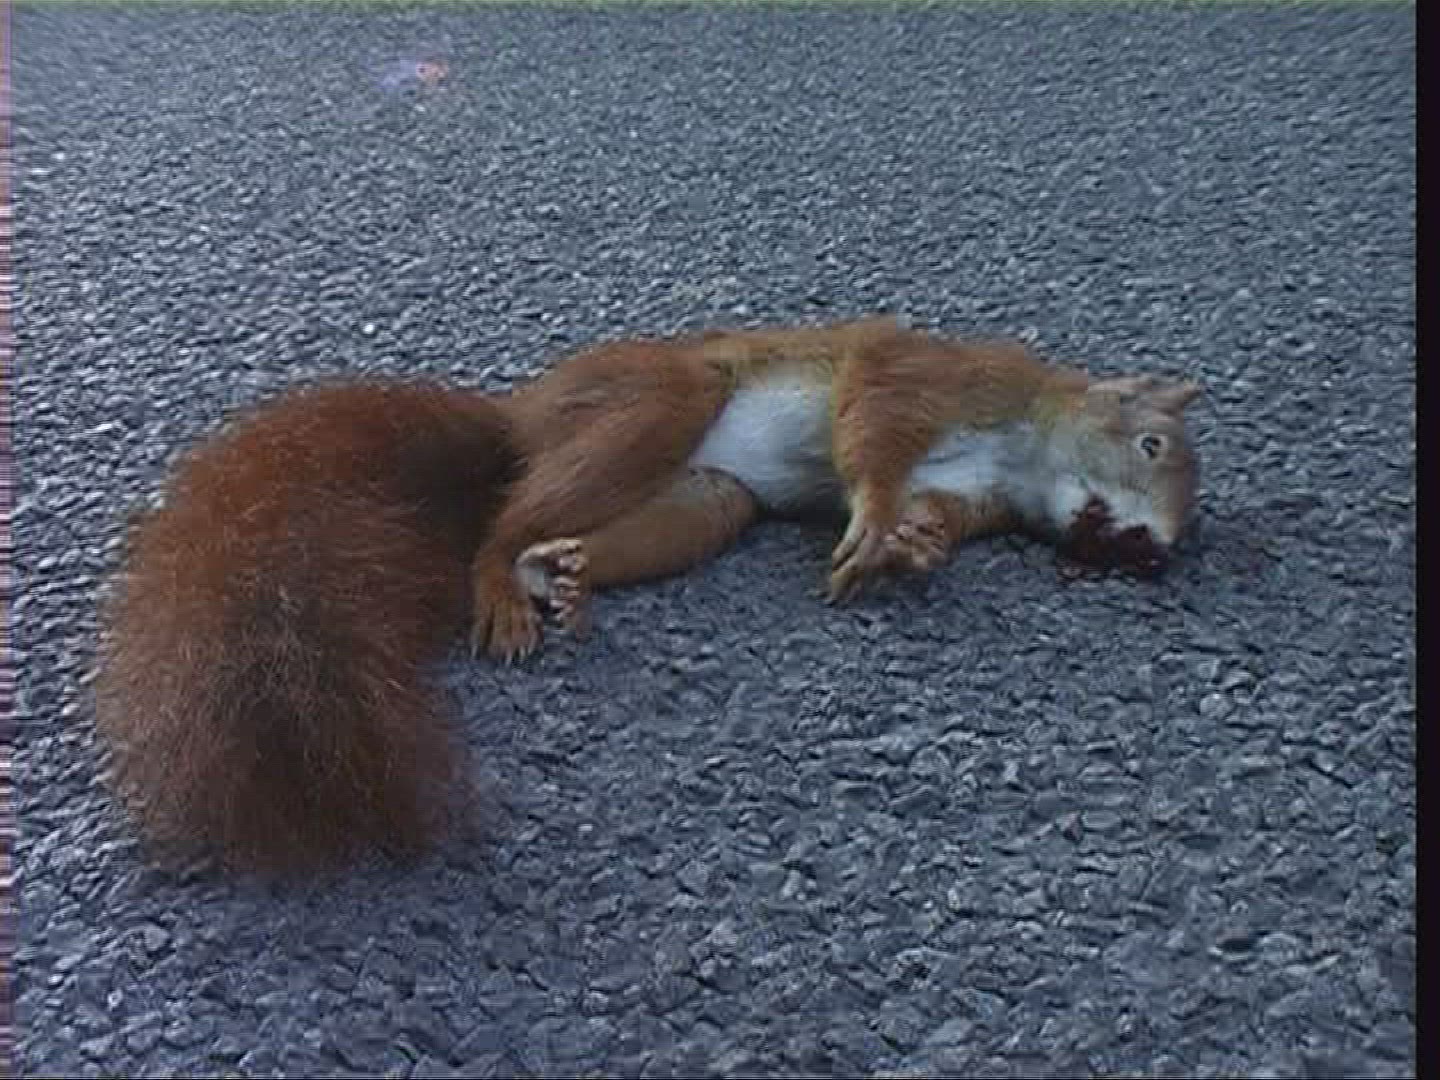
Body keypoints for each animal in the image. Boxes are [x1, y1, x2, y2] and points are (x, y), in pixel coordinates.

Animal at [470, 315, 1203, 660]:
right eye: (1152, 445)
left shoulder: (974, 496)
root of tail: (524, 407)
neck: (1022, 456)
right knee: (500, 528)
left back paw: (563, 575)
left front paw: (918, 545)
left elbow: (935, 513)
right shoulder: (941, 375)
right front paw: (875, 520)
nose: (1150, 549)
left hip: (710, 498)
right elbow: (875, 419)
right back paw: (502, 586)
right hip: (660, 396)